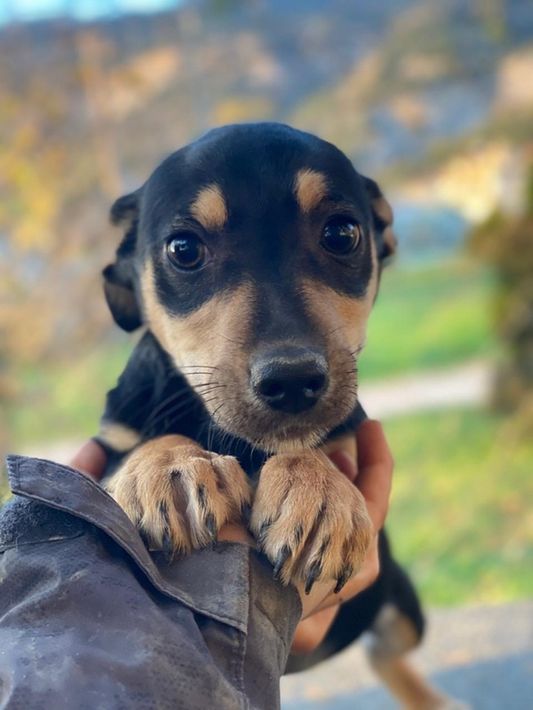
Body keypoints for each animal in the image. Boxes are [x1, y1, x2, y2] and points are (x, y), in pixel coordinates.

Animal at [95, 123, 455, 708]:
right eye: (183, 249)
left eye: (342, 234)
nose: (291, 381)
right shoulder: (108, 445)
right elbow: (141, 445)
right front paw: (169, 469)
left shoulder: (347, 434)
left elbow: (312, 444)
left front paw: (320, 494)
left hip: (398, 602)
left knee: (385, 651)